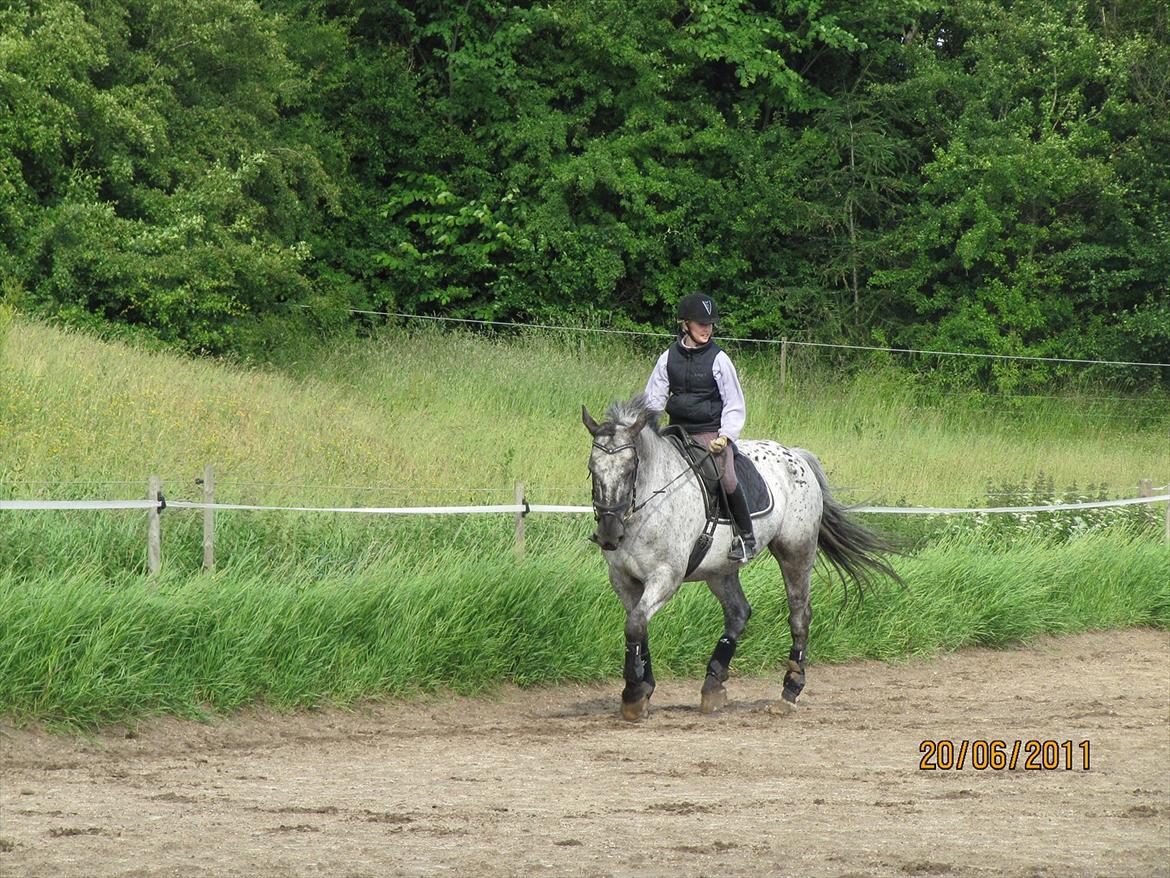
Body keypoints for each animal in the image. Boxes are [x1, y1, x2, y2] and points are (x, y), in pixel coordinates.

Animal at [585, 398, 903, 721]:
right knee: (738, 612)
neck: (646, 506)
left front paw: (634, 694)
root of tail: (796, 456)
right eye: (592, 469)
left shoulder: (666, 576)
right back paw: (714, 685)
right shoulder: (623, 580)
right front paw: (643, 687)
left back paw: (789, 691)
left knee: (799, 615)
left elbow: (635, 625)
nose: (609, 534)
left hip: (796, 551)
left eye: (629, 469)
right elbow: (637, 627)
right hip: (720, 570)